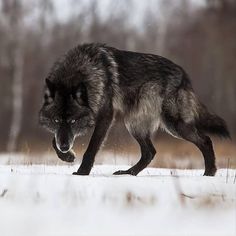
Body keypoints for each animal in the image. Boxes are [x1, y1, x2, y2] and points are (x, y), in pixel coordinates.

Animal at [39, 42, 230, 176]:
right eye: (56, 120)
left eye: (73, 121)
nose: (65, 147)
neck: (80, 70)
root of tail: (184, 75)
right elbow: (53, 140)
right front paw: (67, 156)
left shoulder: (106, 117)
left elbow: (91, 148)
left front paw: (82, 173)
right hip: (135, 124)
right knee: (150, 152)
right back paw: (128, 173)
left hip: (173, 125)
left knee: (205, 140)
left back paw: (209, 173)